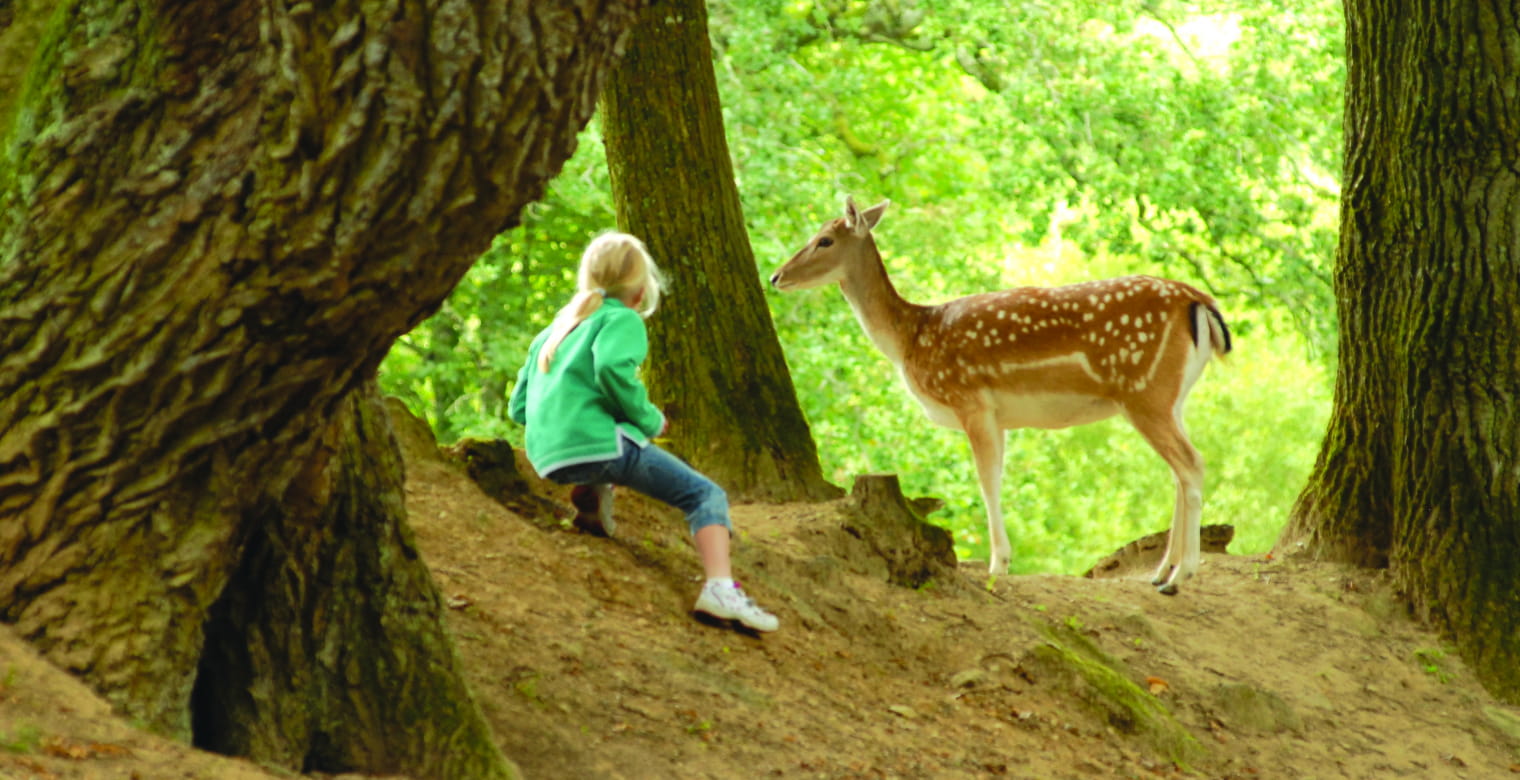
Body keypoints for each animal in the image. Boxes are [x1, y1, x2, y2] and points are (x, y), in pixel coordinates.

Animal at [772, 197, 1234, 592]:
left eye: (824, 239)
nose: (776, 276)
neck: (909, 339)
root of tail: (1200, 300)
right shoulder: (1000, 416)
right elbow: (996, 476)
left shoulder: (970, 399)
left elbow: (986, 480)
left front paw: (998, 565)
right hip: (1171, 395)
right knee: (1180, 470)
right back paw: (1161, 571)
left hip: (1143, 391)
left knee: (1191, 463)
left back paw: (1181, 575)